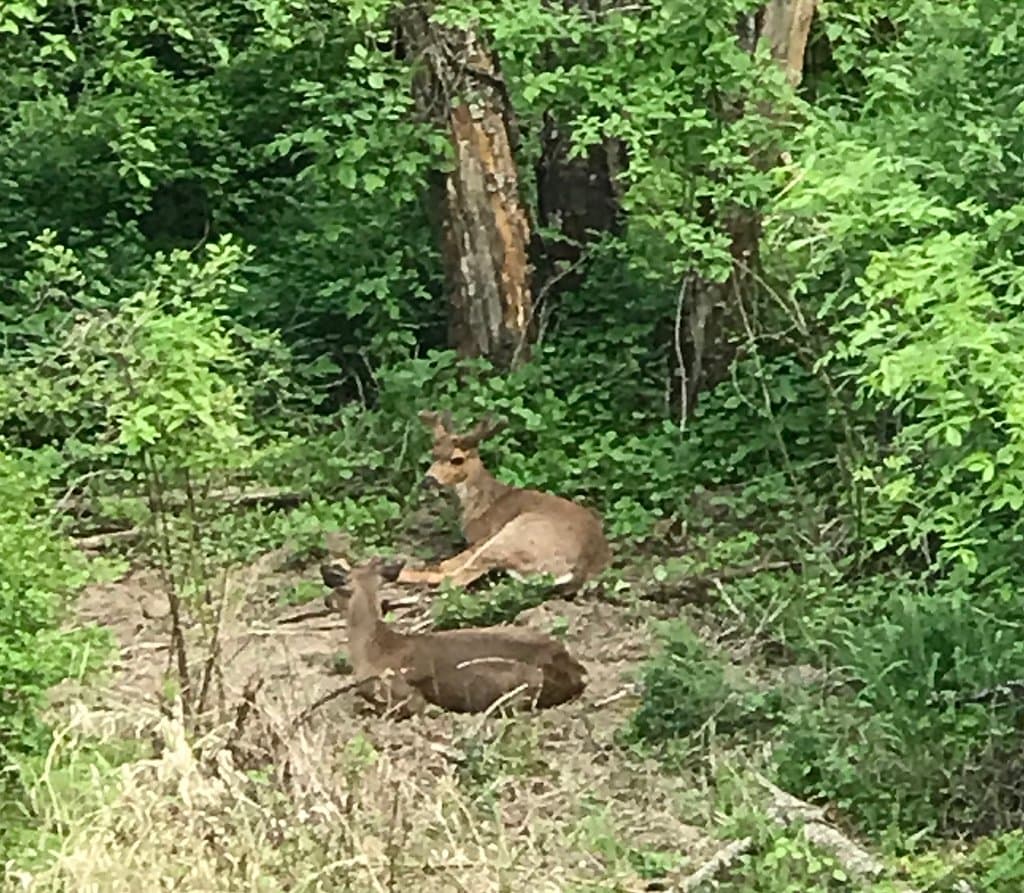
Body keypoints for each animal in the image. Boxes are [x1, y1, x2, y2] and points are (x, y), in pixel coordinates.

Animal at [390, 410, 611, 593]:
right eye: (433, 454)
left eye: (457, 459)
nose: (427, 481)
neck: (481, 503)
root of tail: (581, 569)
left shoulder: (483, 536)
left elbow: (448, 565)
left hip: (512, 536)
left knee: (454, 578)